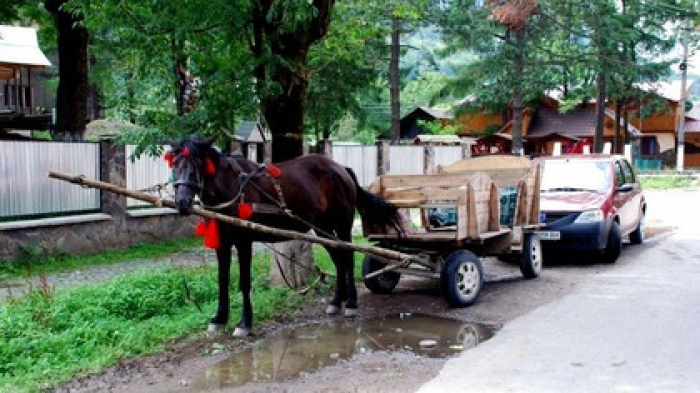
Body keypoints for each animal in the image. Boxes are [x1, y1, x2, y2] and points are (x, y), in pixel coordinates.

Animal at [166, 136, 402, 336]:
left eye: (197, 164)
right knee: (339, 260)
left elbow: (244, 282)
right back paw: (336, 301)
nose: (182, 203)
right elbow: (222, 279)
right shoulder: (222, 243)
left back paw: (351, 303)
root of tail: (341, 169)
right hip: (321, 228)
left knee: (348, 258)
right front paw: (219, 318)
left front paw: (245, 323)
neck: (232, 187)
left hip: (342, 225)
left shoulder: (244, 241)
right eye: (175, 164)